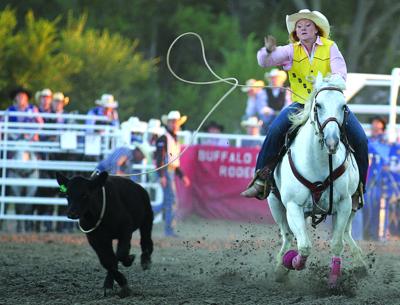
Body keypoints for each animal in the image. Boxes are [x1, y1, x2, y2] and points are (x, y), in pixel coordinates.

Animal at [270, 73, 368, 284]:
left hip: (354, 203)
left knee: (346, 233)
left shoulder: (344, 203)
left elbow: (337, 243)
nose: (332, 141)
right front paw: (290, 262)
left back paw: (360, 264)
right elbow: (304, 246)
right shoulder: (293, 206)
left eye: (343, 106)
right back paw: (280, 267)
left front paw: (334, 279)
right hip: (275, 203)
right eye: (318, 105)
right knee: (287, 236)